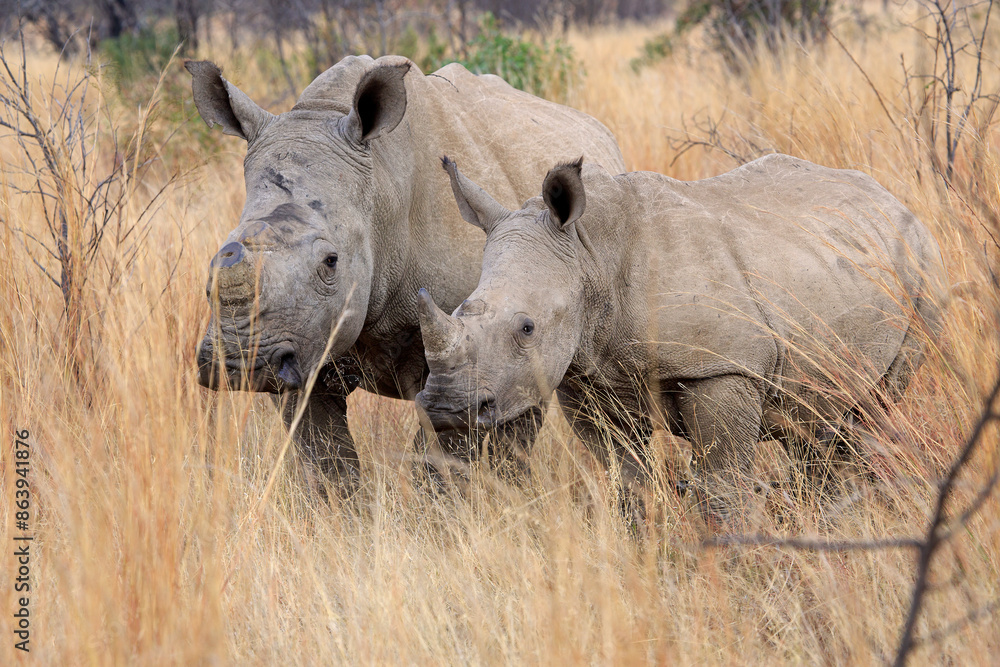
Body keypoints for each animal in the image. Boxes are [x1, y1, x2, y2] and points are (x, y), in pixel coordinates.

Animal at [187, 56, 625, 487]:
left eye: (330, 262)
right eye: (217, 256)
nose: (238, 365)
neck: (381, 191)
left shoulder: (460, 359)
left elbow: (441, 456)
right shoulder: (304, 340)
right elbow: (326, 463)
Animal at [415, 155, 943, 521]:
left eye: (526, 328)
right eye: (458, 309)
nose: (446, 408)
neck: (589, 256)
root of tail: (894, 199)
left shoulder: (719, 366)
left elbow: (722, 485)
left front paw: (735, 570)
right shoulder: (586, 378)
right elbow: (626, 480)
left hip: (920, 270)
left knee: (871, 407)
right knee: (819, 416)